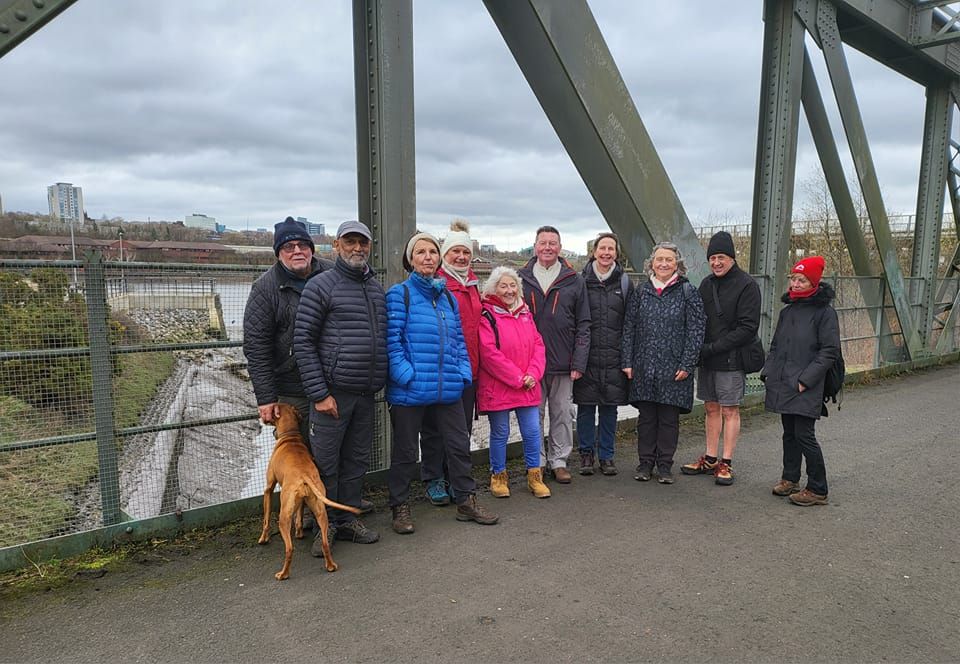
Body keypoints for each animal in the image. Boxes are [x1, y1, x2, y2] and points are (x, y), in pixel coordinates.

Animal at [255, 402, 360, 580]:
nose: (262, 417)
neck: (291, 436)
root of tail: (303, 475)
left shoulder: (268, 489)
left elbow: (266, 520)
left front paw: (263, 539)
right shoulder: (302, 502)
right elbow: (299, 516)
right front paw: (299, 533)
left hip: (284, 517)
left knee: (289, 549)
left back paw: (283, 574)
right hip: (320, 511)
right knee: (325, 542)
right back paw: (330, 565)